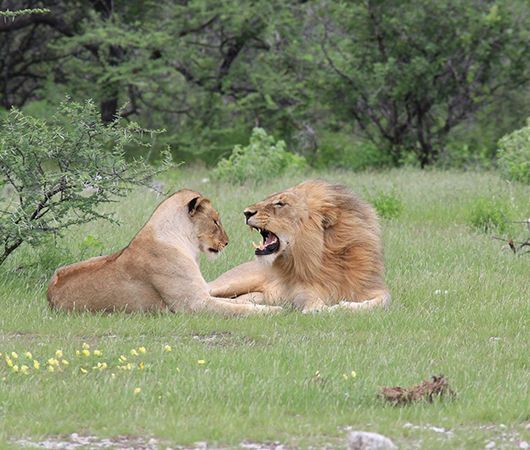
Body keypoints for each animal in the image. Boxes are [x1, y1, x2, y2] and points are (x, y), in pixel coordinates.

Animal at [47, 190, 278, 316]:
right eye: (215, 221)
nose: (227, 242)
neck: (186, 244)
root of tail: (48, 296)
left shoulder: (203, 294)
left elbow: (238, 302)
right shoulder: (194, 305)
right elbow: (237, 309)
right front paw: (274, 312)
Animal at [206, 178, 388, 312]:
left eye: (280, 204)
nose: (246, 213)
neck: (329, 256)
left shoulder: (372, 285)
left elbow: (384, 299)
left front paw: (346, 305)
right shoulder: (302, 290)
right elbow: (314, 304)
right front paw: (327, 308)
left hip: (257, 295)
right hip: (232, 283)